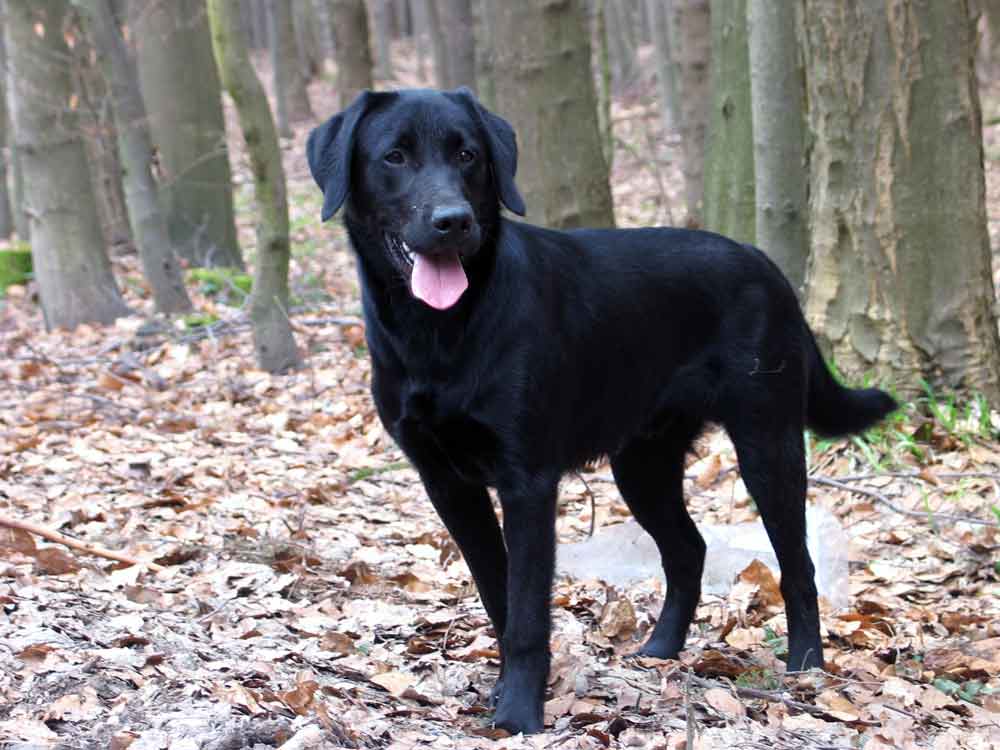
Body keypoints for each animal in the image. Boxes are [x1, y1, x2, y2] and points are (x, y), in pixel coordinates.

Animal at [306, 86, 900, 736]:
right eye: (394, 156)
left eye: (467, 155)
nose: (453, 220)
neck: (439, 333)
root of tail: (766, 265)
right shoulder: (448, 484)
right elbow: (497, 592)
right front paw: (505, 691)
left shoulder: (527, 483)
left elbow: (526, 611)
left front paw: (519, 713)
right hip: (641, 464)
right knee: (688, 549)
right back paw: (661, 651)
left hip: (766, 445)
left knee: (797, 565)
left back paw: (806, 667)